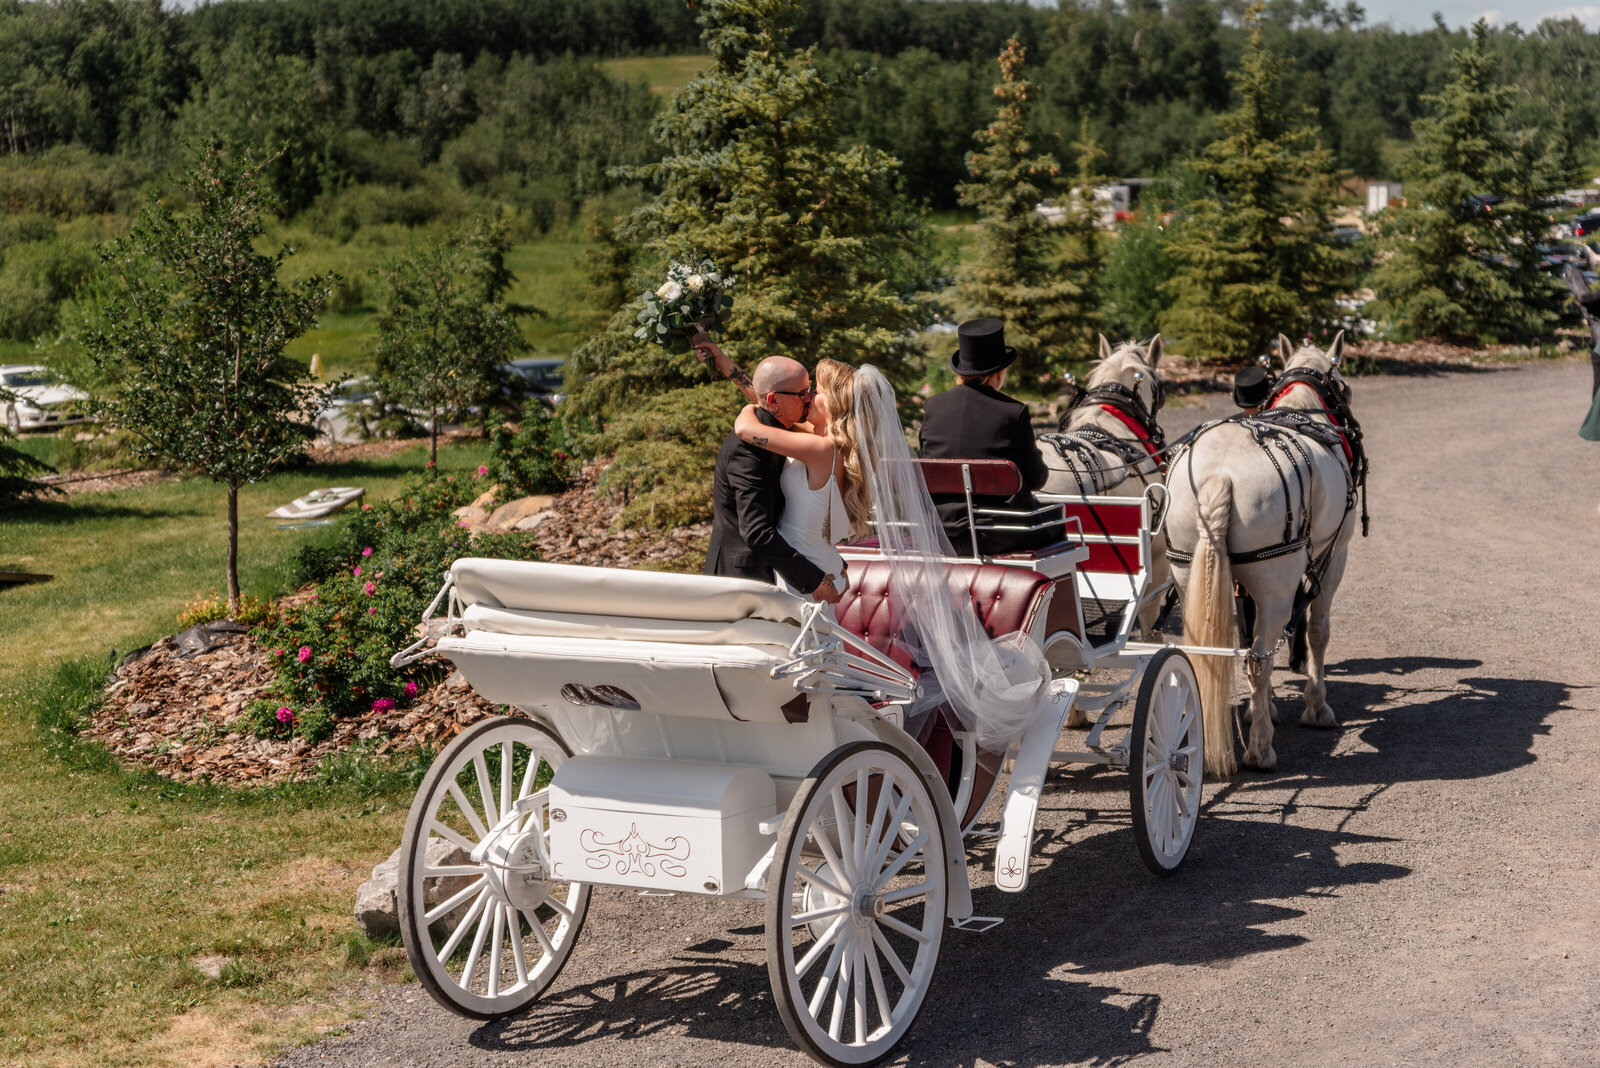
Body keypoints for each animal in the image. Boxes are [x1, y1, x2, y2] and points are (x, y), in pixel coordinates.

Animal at [1171, 334, 1356, 777]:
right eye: (1345, 387)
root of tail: (1220, 474)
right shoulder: (1335, 555)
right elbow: (1318, 630)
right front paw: (1316, 706)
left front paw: (1264, 706)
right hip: (1276, 585)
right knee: (1259, 656)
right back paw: (1260, 750)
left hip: (1188, 574)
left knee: (1211, 652)